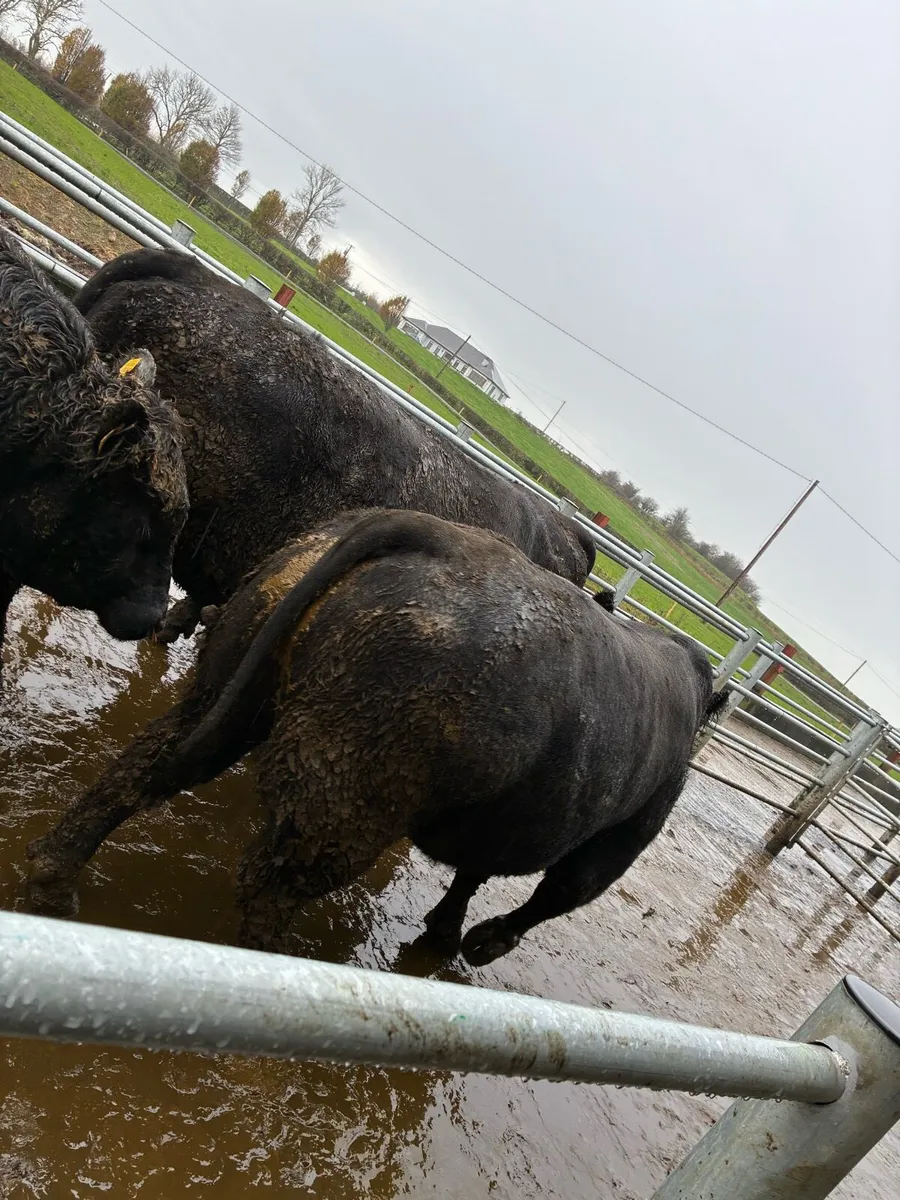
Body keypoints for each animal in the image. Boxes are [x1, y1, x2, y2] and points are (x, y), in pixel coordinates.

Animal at [26, 509, 723, 967]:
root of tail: (430, 535)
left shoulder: (507, 815)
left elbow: (474, 870)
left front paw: (446, 929)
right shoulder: (615, 842)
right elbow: (551, 895)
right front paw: (484, 941)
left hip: (226, 688)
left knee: (142, 768)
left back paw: (52, 878)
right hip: (354, 794)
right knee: (271, 882)